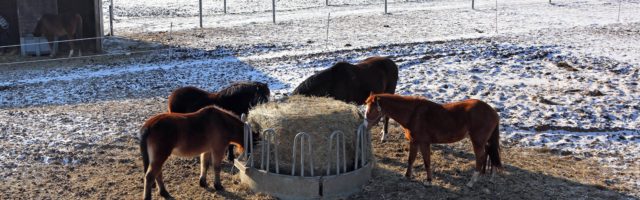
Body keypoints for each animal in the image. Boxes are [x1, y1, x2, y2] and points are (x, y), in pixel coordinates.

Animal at [362, 93, 502, 187]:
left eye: (371, 110)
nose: (364, 126)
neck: (413, 114)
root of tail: (493, 112)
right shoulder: (414, 142)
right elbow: (411, 159)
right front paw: (407, 176)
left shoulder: (424, 143)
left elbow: (426, 161)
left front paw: (428, 181)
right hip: (485, 142)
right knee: (490, 154)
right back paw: (490, 177)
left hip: (477, 142)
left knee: (480, 158)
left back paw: (471, 182)